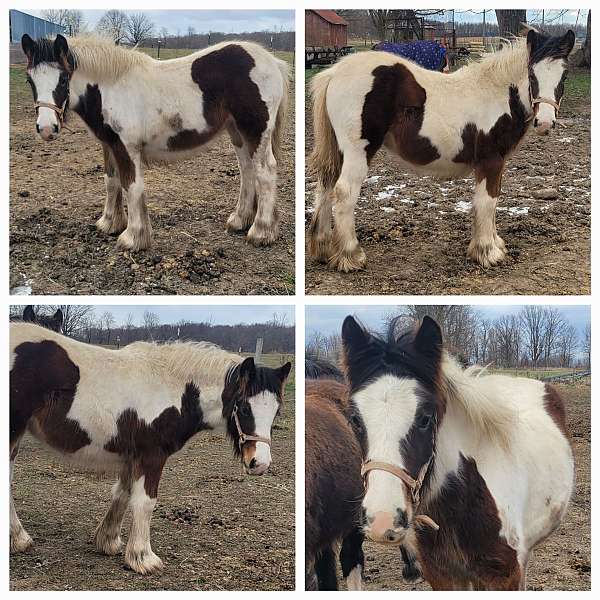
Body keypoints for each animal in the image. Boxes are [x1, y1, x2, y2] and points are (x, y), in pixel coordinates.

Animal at [8, 326, 290, 576]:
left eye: (277, 410)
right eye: (243, 407)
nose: (259, 463)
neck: (173, 389)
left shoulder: (132, 458)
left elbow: (122, 494)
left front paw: (108, 541)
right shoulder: (152, 456)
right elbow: (145, 502)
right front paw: (143, 558)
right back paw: (19, 539)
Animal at [21, 34, 288, 251]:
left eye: (63, 79)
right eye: (29, 80)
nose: (46, 129)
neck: (110, 87)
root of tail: (273, 62)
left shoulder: (127, 147)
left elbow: (131, 186)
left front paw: (133, 238)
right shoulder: (109, 145)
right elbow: (111, 182)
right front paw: (109, 224)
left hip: (255, 132)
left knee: (265, 172)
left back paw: (260, 232)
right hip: (237, 133)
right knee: (247, 171)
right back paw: (240, 220)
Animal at [310, 28, 576, 270]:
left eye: (564, 76)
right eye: (531, 74)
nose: (544, 123)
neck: (497, 95)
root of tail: (334, 73)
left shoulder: (495, 163)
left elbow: (491, 200)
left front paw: (494, 245)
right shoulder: (490, 160)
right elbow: (487, 202)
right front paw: (487, 252)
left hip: (339, 152)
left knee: (326, 186)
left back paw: (323, 249)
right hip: (358, 151)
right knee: (344, 192)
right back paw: (351, 256)